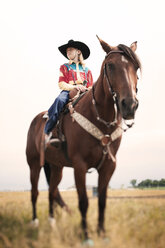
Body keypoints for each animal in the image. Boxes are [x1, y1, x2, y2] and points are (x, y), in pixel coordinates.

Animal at [25, 37, 141, 241]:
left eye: (135, 66)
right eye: (110, 65)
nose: (129, 105)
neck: (99, 118)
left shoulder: (109, 166)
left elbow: (102, 201)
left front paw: (102, 234)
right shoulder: (80, 166)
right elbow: (84, 201)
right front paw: (86, 236)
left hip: (56, 167)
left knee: (52, 191)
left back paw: (52, 223)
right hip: (34, 164)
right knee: (34, 192)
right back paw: (35, 222)